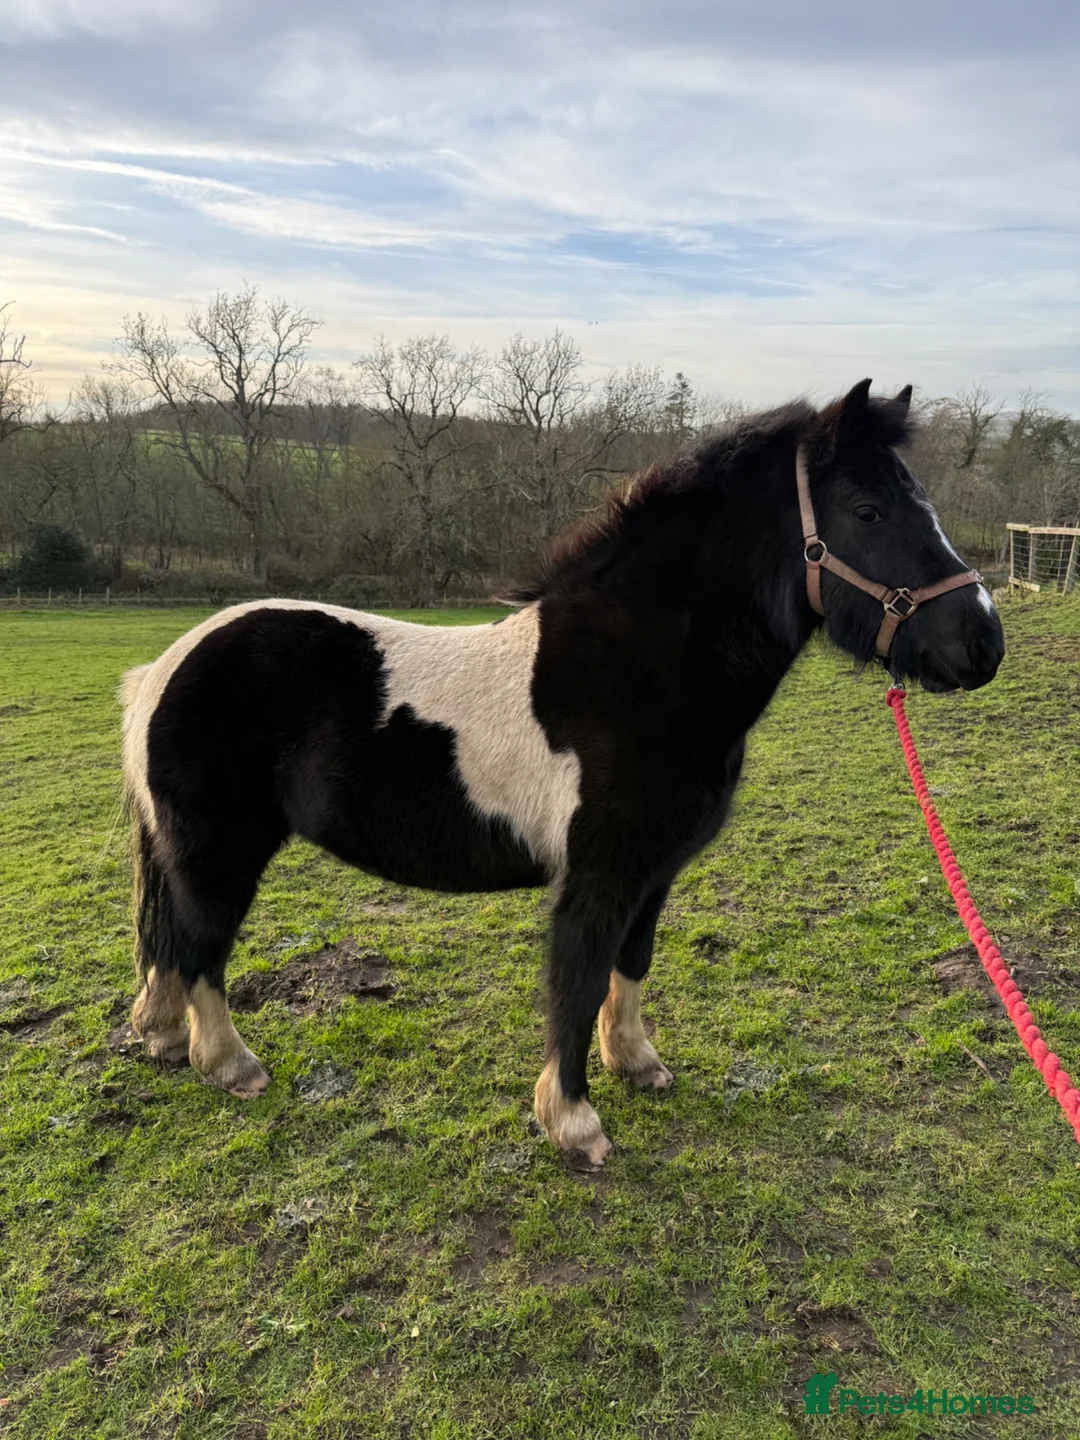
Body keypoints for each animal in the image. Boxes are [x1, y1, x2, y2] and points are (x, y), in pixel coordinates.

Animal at [121, 379, 1004, 1167]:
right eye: (868, 510)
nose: (983, 643)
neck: (633, 672)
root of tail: (161, 668)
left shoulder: (654, 873)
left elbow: (630, 965)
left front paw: (637, 1063)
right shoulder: (596, 876)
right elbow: (577, 983)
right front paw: (574, 1124)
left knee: (169, 945)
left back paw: (162, 1038)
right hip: (220, 853)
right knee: (200, 948)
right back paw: (231, 1065)